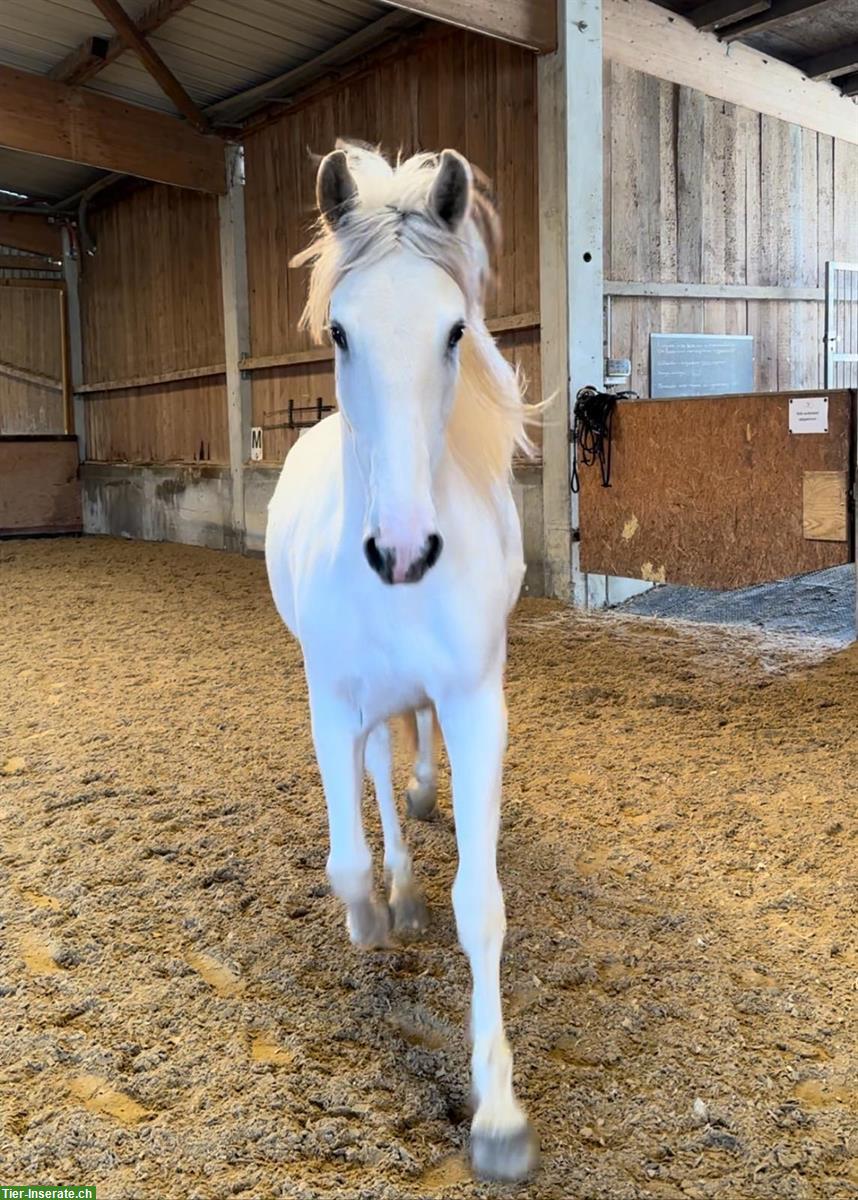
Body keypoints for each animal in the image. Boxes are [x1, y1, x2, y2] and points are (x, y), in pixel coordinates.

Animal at [265, 140, 540, 1180]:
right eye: (340, 332)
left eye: (454, 329)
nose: (405, 551)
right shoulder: (328, 702)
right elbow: (346, 860)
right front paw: (371, 917)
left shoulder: (474, 704)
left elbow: (482, 904)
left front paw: (498, 1117)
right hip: (359, 705)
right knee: (380, 773)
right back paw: (399, 885)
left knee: (406, 757)